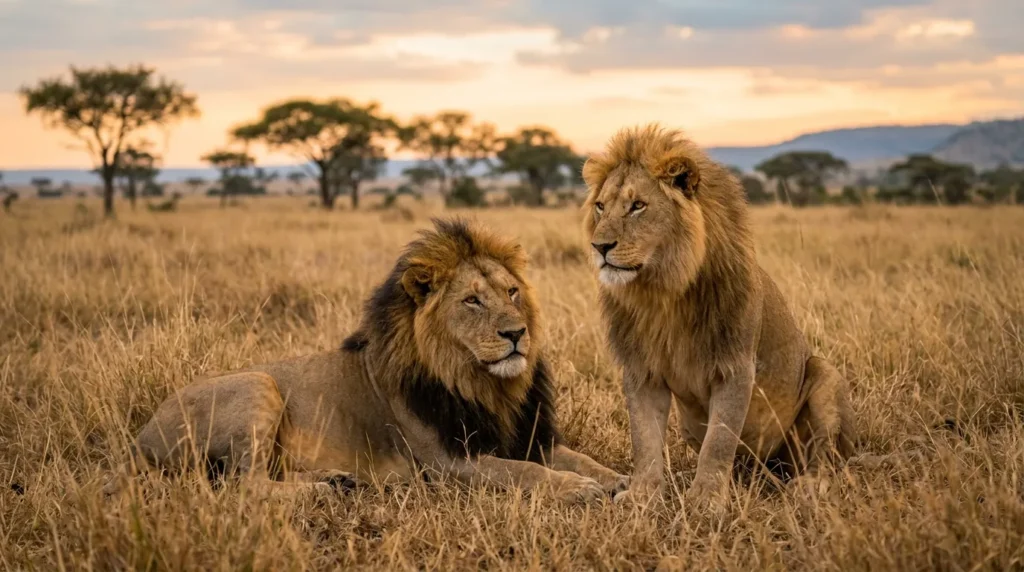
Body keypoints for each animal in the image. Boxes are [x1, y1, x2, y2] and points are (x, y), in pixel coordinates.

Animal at [106, 218, 628, 503]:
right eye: (472, 301)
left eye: (512, 292)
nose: (517, 334)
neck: (484, 385)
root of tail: (140, 439)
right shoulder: (448, 463)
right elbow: (523, 472)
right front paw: (578, 489)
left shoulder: (528, 437)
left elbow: (583, 458)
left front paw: (621, 480)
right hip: (258, 383)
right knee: (245, 485)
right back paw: (321, 491)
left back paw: (337, 480)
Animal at [579, 124, 856, 506]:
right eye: (600, 207)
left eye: (637, 206)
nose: (599, 247)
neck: (663, 290)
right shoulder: (641, 370)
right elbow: (645, 439)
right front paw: (642, 495)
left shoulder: (734, 366)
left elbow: (720, 440)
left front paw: (706, 500)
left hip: (824, 376)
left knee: (826, 456)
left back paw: (811, 485)